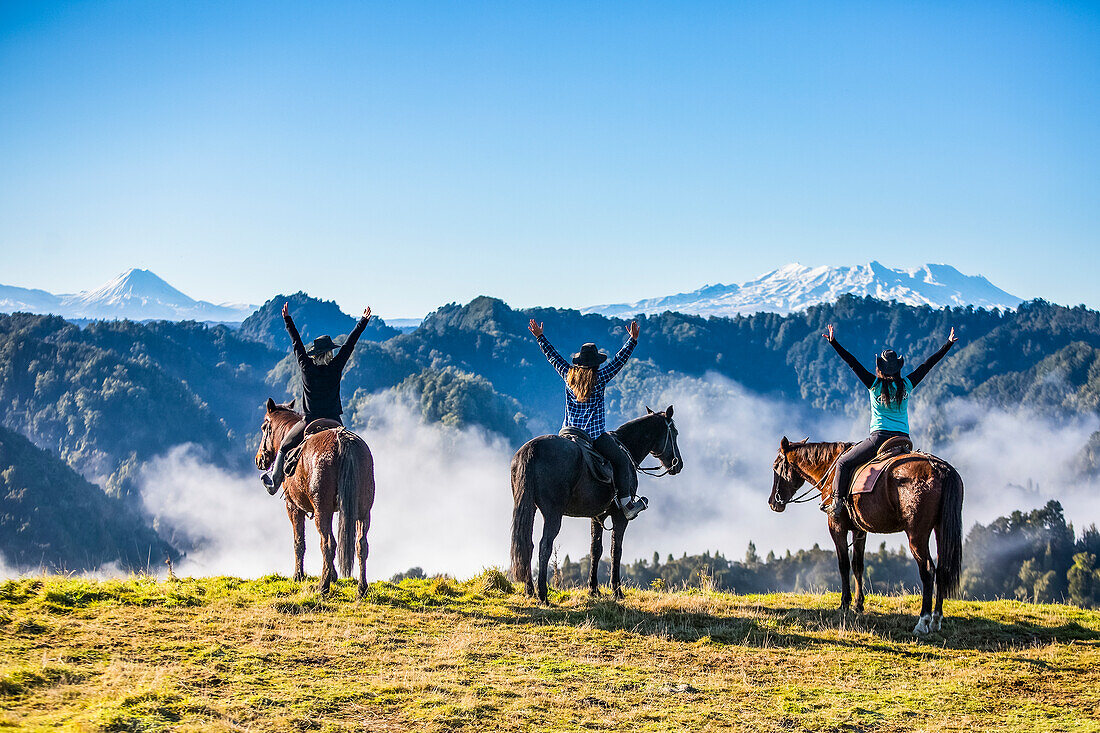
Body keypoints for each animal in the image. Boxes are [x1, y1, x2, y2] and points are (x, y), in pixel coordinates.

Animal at [255, 400, 376, 594]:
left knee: (328, 543)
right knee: (361, 544)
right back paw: (361, 588)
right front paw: (333, 575)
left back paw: (323, 586)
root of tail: (342, 440)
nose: (259, 458)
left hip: (321, 510)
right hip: (363, 511)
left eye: (264, 427)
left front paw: (298, 576)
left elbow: (299, 542)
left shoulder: (293, 507)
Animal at [510, 405, 682, 598]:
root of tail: (531, 449)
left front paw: (593, 589)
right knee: (544, 546)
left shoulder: (597, 516)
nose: (678, 464)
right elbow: (616, 550)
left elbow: (595, 550)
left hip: (530, 508)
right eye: (674, 433)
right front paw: (617, 590)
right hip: (553, 513)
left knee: (528, 545)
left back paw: (530, 590)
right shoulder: (619, 516)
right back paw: (542, 594)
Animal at [765, 433, 963, 633]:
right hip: (940, 529)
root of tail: (940, 468)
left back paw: (923, 621)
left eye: (775, 467)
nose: (773, 502)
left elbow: (844, 564)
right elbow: (858, 565)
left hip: (916, 534)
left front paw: (845, 603)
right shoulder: (860, 530)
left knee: (928, 569)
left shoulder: (836, 526)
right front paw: (858, 604)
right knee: (942, 568)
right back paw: (937, 618)